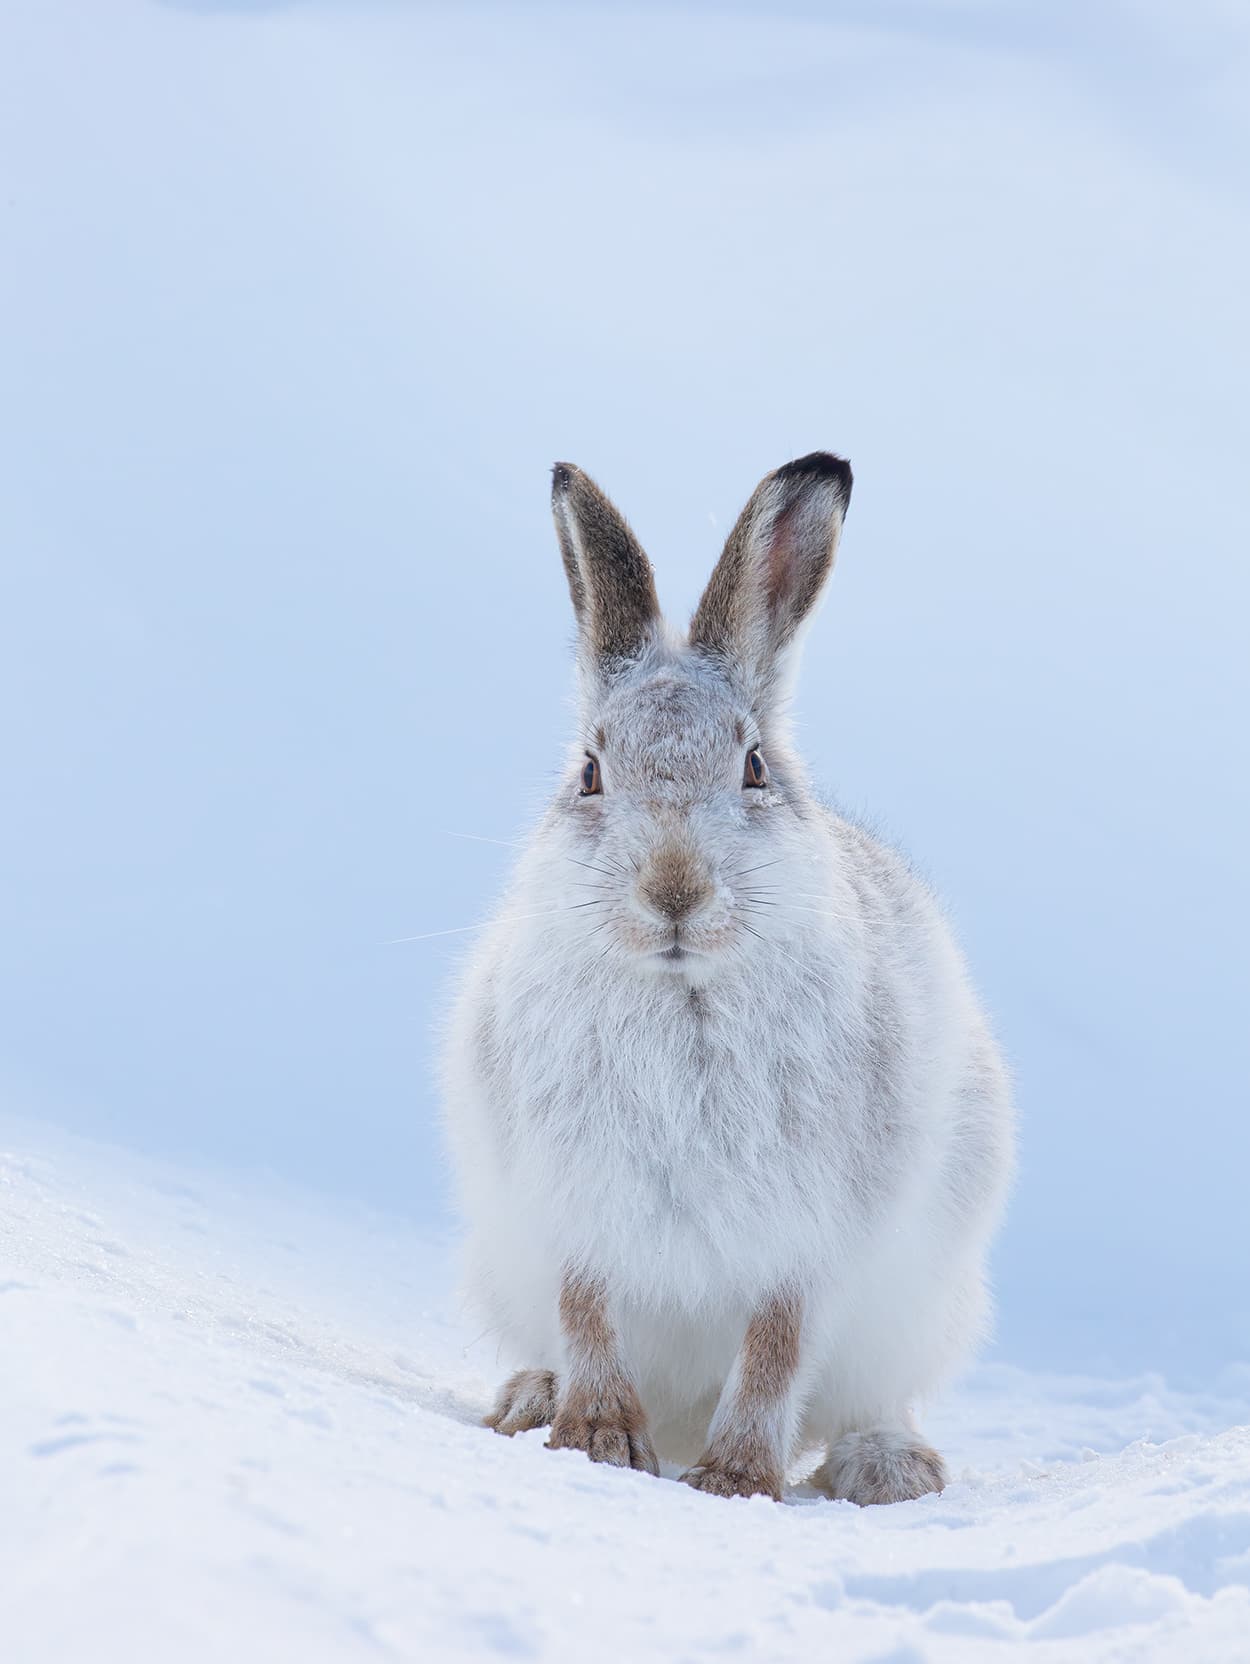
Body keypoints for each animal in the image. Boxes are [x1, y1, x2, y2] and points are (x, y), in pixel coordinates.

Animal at [442, 453, 1015, 1504]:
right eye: (589, 772)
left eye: (754, 767)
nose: (675, 889)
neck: (683, 988)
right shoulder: (572, 1206)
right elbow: (587, 1310)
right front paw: (597, 1439)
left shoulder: (811, 1237)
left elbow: (776, 1346)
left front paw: (737, 1479)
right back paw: (532, 1400)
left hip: (922, 1301)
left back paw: (887, 1467)